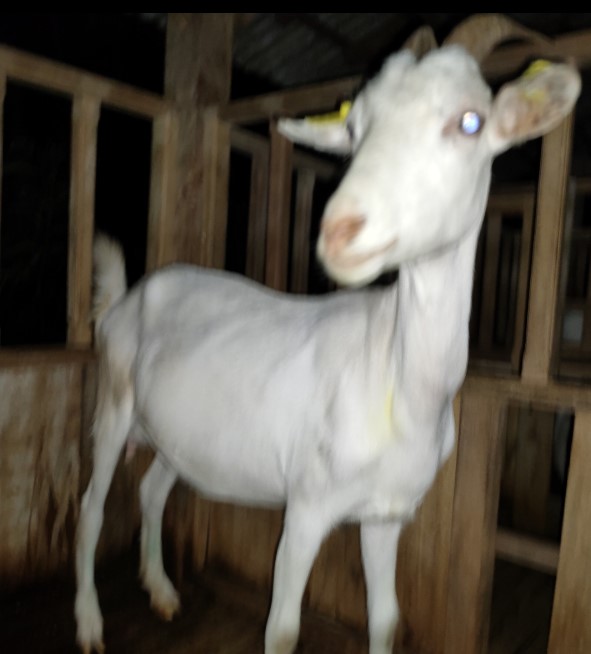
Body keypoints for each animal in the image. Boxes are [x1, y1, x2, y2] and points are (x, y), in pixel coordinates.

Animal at [74, 14, 581, 654]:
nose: (341, 230)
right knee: (91, 506)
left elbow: (386, 619)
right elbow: (283, 629)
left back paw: (162, 590)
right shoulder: (307, 509)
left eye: (471, 121)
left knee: (152, 490)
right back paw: (89, 622)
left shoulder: (387, 516)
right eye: (355, 129)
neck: (397, 383)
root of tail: (127, 298)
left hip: (178, 434)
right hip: (114, 403)